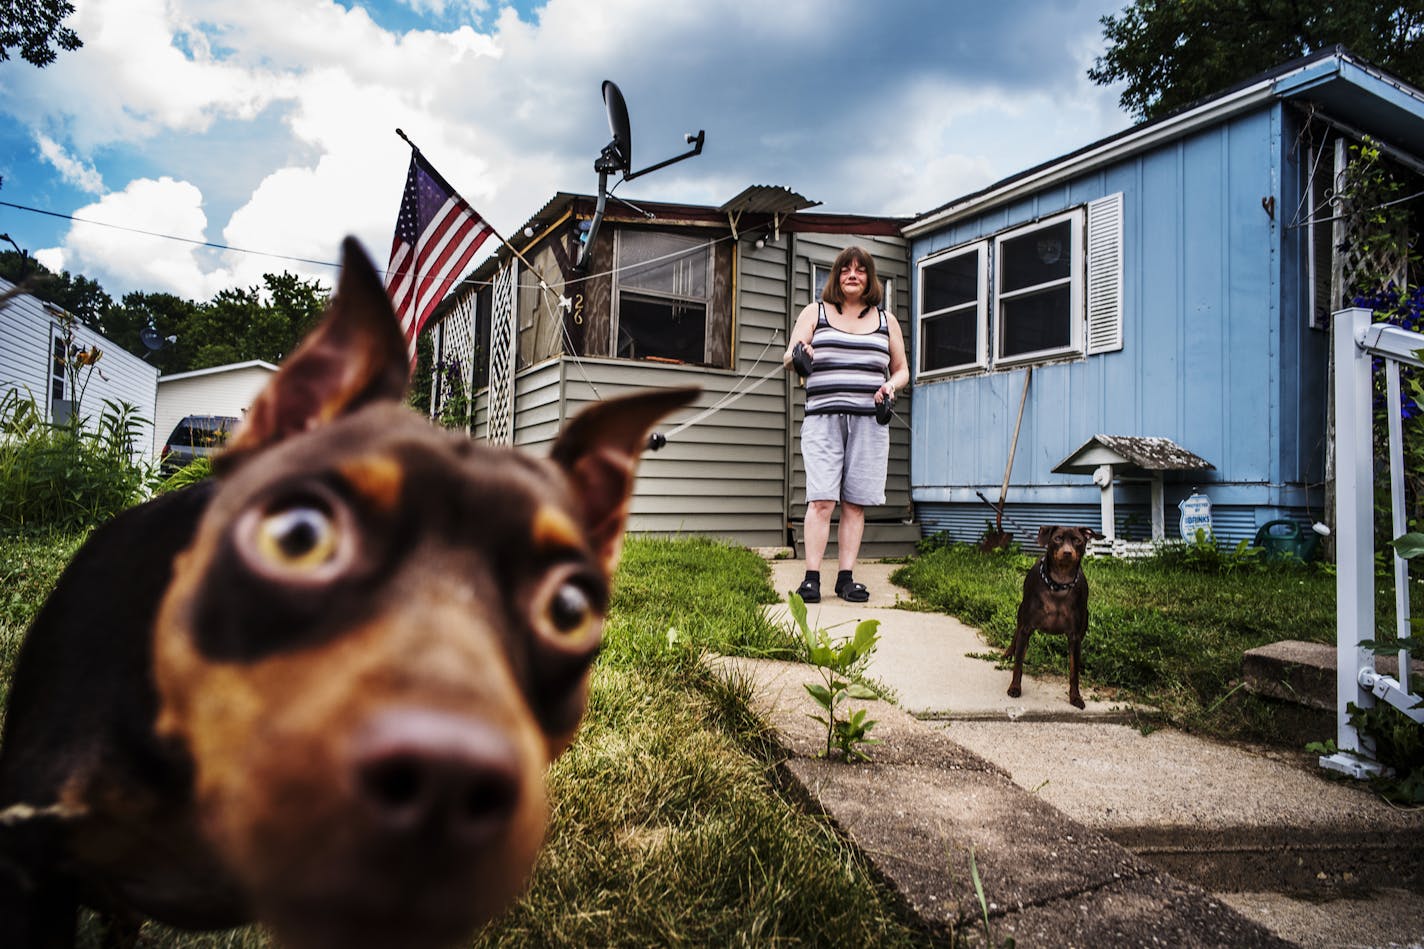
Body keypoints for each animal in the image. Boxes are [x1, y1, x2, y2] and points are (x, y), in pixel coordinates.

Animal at [1002, 518, 1099, 709]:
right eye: (1058, 538)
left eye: (1077, 540)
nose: (1067, 552)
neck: (1059, 583)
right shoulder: (1026, 628)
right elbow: (1018, 664)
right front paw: (1015, 687)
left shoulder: (1075, 636)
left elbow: (1073, 672)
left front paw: (1076, 697)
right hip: (1021, 614)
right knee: (1016, 635)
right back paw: (1009, 652)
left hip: (1085, 621)